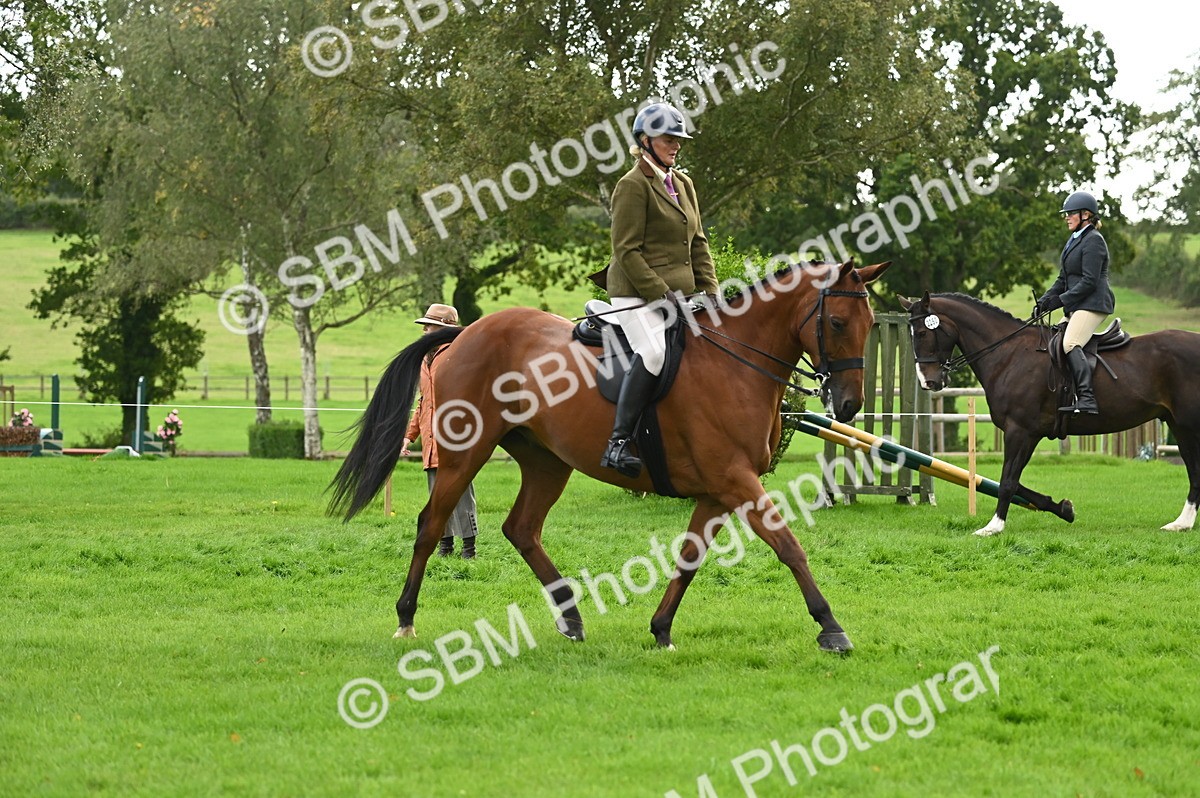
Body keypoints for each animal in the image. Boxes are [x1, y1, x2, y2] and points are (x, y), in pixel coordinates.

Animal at [329, 260, 891, 653]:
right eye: (836, 321)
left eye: (868, 324)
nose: (848, 405)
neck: (737, 362)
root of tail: (464, 332)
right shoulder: (737, 481)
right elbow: (789, 546)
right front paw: (831, 628)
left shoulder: (720, 489)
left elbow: (689, 558)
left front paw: (661, 629)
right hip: (466, 453)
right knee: (431, 525)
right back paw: (406, 618)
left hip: (546, 460)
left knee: (522, 528)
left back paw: (571, 618)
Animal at [899, 292, 1200, 536]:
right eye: (911, 335)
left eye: (923, 333)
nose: (928, 382)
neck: (1009, 354)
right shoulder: (1027, 433)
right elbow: (1013, 482)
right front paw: (1064, 508)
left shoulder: (1020, 430)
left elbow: (1007, 481)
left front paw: (993, 527)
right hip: (1177, 424)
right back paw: (1181, 523)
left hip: (1187, 425)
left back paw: (1183, 523)